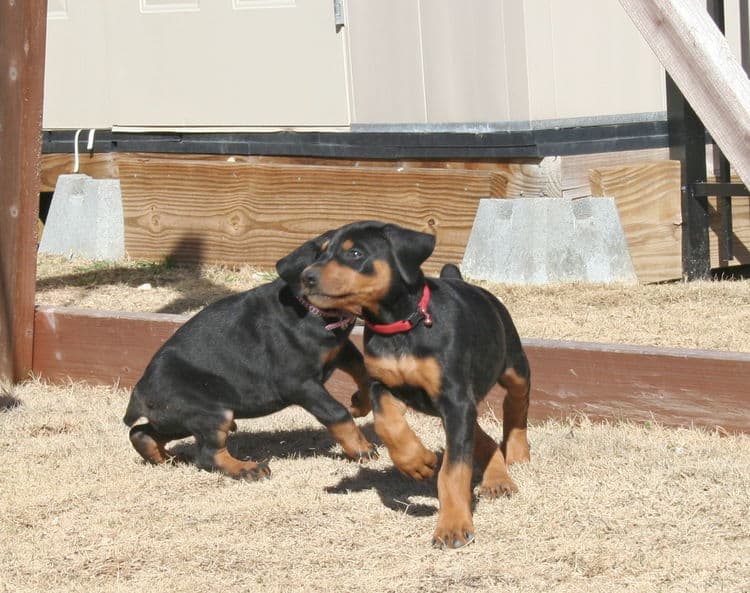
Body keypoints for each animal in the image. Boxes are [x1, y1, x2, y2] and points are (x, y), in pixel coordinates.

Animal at [125, 232, 378, 480]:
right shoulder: (299, 383)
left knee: (140, 433)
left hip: (177, 417)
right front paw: (361, 448)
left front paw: (360, 403)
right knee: (208, 456)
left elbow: (364, 372)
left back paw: (167, 459)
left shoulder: (341, 349)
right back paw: (248, 469)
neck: (313, 312)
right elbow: (336, 412)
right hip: (210, 412)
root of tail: (139, 392)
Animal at [296, 220, 532, 548]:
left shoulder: (455, 399)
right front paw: (417, 461)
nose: (306, 277)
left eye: (355, 253)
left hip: (513, 364)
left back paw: (517, 452)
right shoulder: (383, 385)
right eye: (320, 253)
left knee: (517, 402)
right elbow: (387, 424)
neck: (401, 326)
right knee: (481, 437)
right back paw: (497, 480)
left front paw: (453, 526)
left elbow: (453, 470)